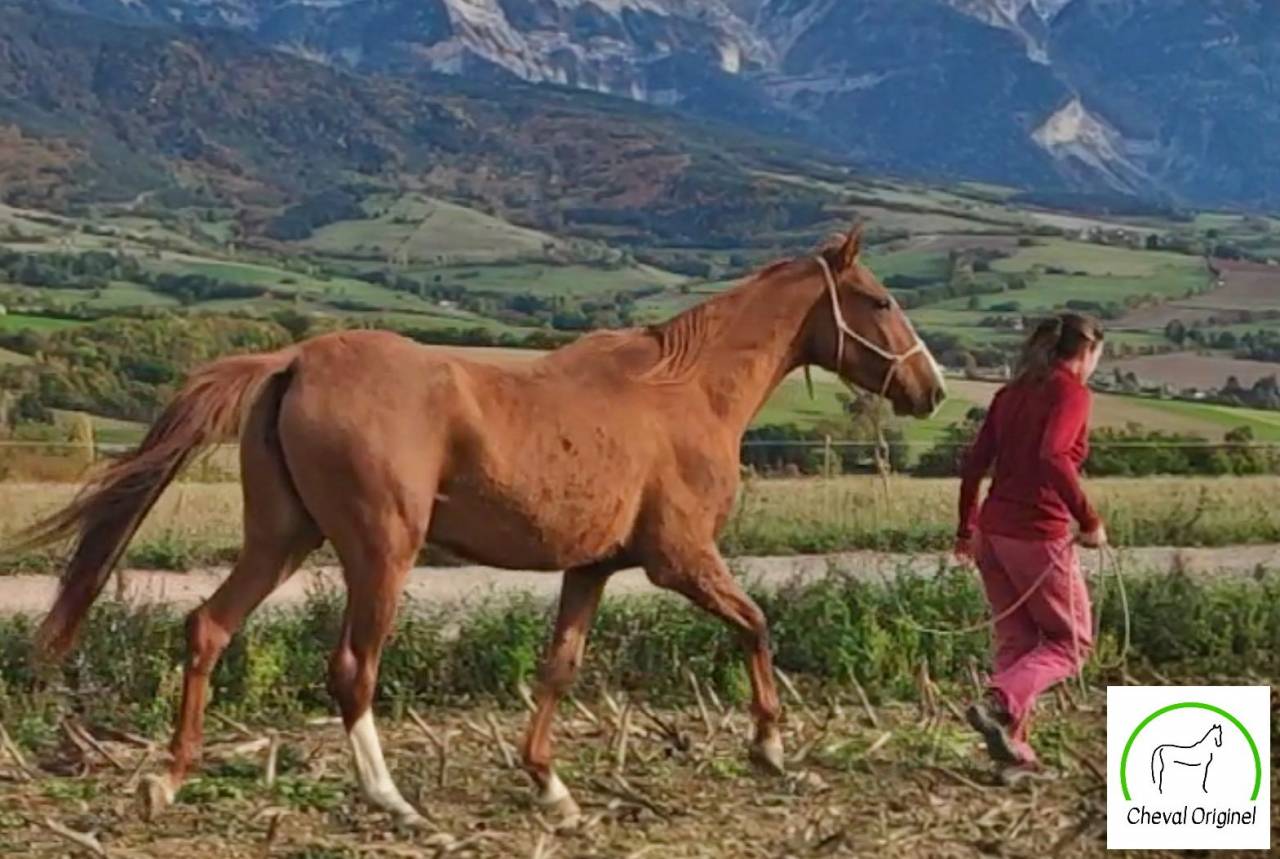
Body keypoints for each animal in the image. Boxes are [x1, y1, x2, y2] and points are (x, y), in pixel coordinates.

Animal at [19, 223, 946, 826]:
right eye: (879, 298)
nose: (930, 388)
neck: (685, 390)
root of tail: (293, 360)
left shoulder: (593, 566)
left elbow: (559, 666)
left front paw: (552, 788)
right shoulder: (681, 558)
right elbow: (757, 622)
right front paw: (771, 748)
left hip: (281, 538)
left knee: (208, 627)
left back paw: (166, 781)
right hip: (379, 550)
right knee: (351, 667)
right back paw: (393, 801)